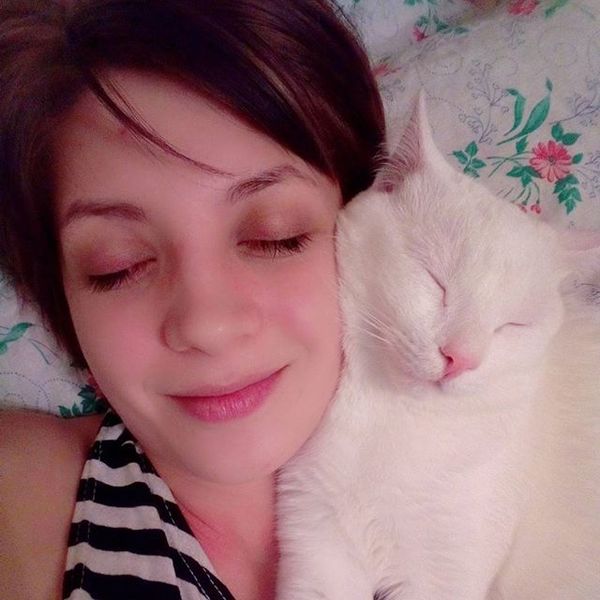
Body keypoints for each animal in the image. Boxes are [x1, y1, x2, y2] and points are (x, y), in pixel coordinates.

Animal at [276, 93, 600, 600]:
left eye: (511, 324)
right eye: (435, 281)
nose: (459, 358)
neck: (396, 423)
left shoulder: (444, 571)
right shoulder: (318, 538)